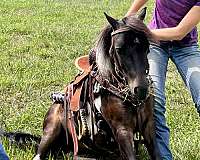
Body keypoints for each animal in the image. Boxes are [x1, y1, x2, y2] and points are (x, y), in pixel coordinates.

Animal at [32, 7, 159, 160]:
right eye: (119, 49)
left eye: (147, 46)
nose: (141, 89)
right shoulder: (122, 129)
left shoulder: (148, 125)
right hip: (50, 131)